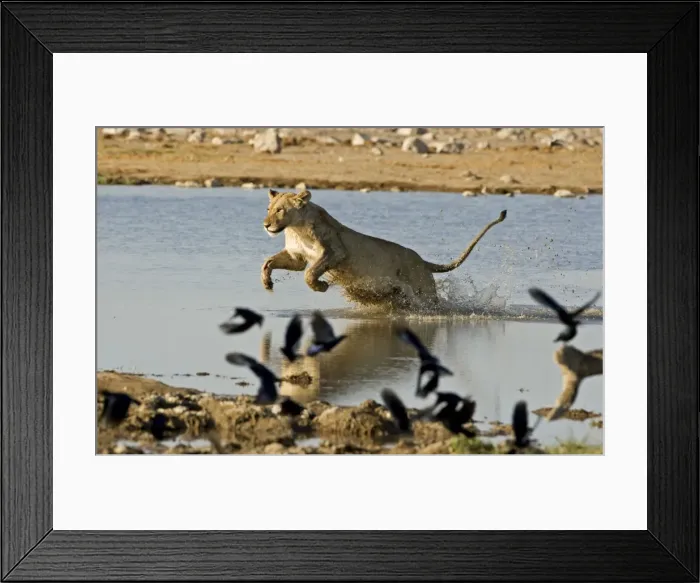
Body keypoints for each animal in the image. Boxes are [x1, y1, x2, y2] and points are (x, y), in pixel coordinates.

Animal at [261, 189, 507, 307]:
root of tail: (421, 260)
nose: (266, 225)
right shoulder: (296, 257)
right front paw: (267, 283)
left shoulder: (335, 251)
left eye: (280, 210)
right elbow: (268, 262)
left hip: (423, 291)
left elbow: (310, 274)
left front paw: (321, 286)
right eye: (269, 208)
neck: (295, 229)